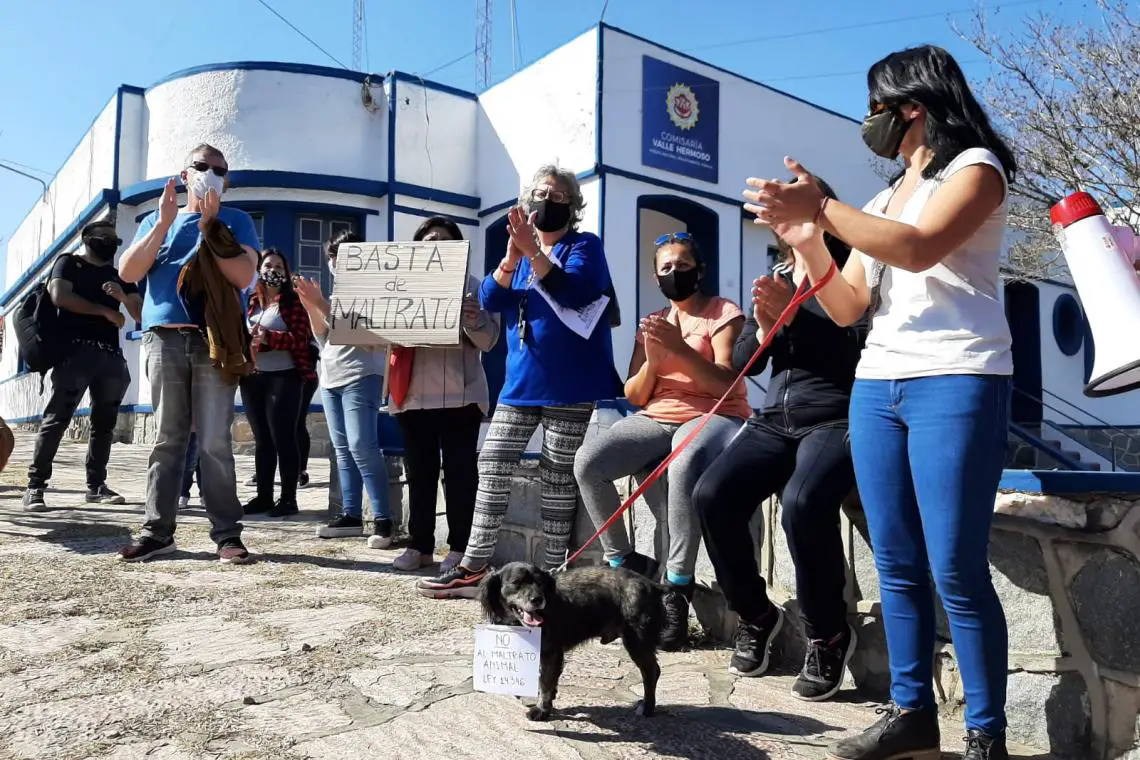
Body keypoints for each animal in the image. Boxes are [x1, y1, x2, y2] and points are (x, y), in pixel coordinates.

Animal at [478, 562, 664, 722]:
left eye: (540, 583)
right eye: (516, 582)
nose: (538, 599)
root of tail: (653, 586)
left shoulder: (550, 653)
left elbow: (545, 682)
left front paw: (541, 710)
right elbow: (550, 681)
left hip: (636, 642)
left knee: (652, 672)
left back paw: (647, 707)